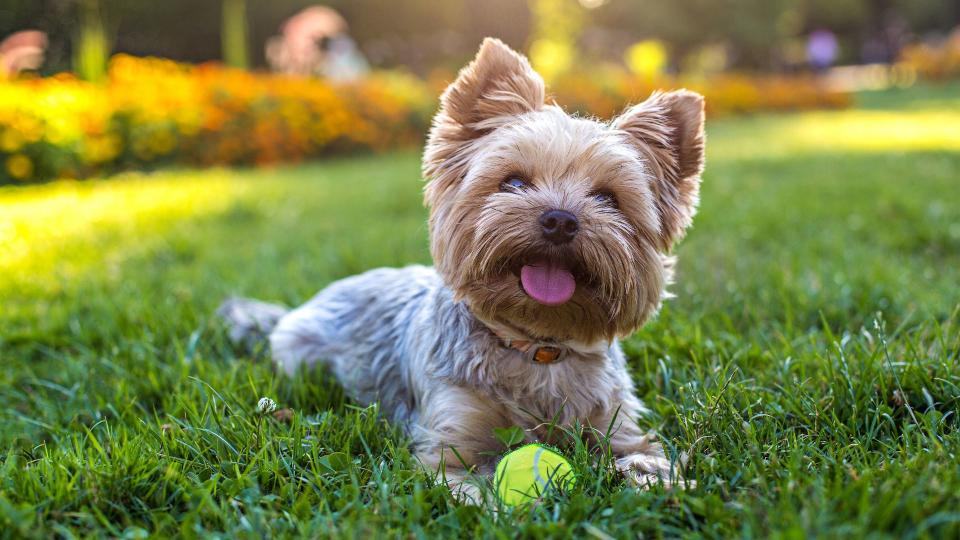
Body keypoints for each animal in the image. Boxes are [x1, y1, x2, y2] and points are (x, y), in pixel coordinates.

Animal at [223, 37, 704, 502]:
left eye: (608, 198)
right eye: (513, 182)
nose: (560, 219)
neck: (537, 348)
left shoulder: (616, 423)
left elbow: (643, 454)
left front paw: (660, 484)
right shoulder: (450, 442)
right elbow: (472, 489)